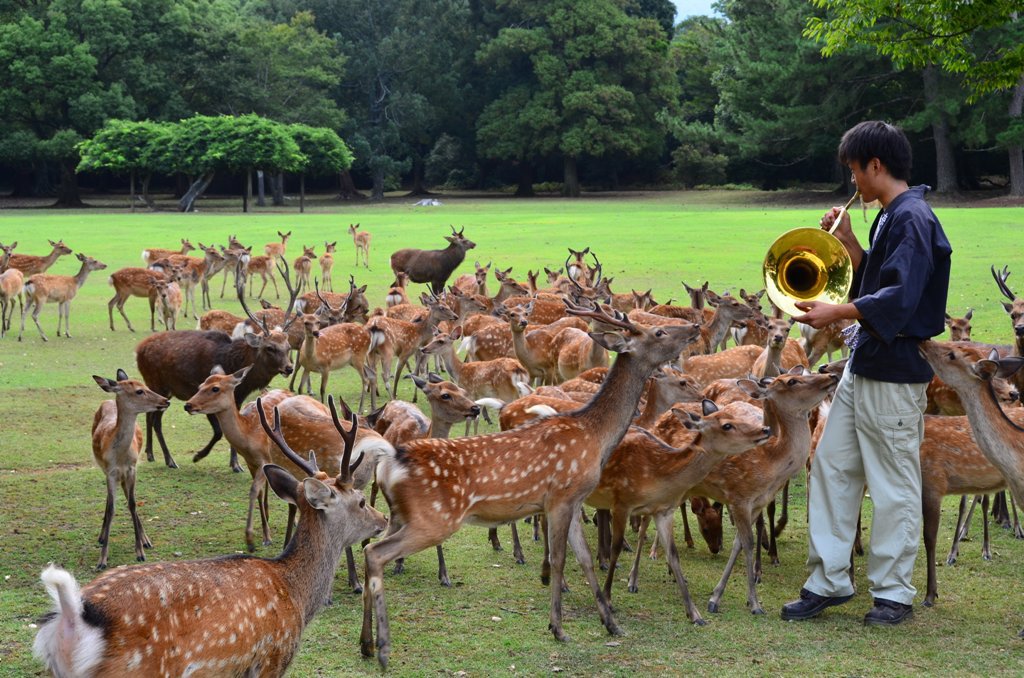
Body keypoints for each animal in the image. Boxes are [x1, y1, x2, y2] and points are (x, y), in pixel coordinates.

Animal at [35, 399, 387, 678]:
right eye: (360, 501)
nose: (382, 520)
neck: (296, 594)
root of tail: (72, 617)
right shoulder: (271, 657)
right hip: (137, 670)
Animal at [360, 301, 704, 667]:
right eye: (659, 332)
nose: (695, 327)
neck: (595, 437)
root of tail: (393, 458)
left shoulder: (573, 500)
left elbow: (584, 558)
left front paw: (610, 623)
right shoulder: (561, 496)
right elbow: (560, 559)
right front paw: (558, 627)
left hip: (407, 515)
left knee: (369, 548)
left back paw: (366, 644)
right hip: (435, 517)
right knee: (376, 553)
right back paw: (383, 647)